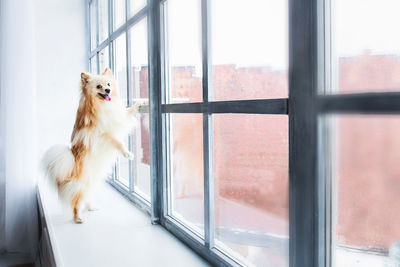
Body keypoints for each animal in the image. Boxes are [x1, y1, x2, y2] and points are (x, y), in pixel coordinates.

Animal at [42, 67, 141, 224]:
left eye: (108, 84)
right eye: (99, 86)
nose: (108, 90)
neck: (102, 105)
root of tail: (71, 166)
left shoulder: (118, 118)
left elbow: (127, 112)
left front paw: (137, 104)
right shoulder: (102, 134)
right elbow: (118, 142)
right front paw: (127, 153)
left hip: (92, 182)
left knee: (87, 196)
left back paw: (91, 207)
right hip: (81, 185)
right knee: (76, 202)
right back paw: (78, 218)